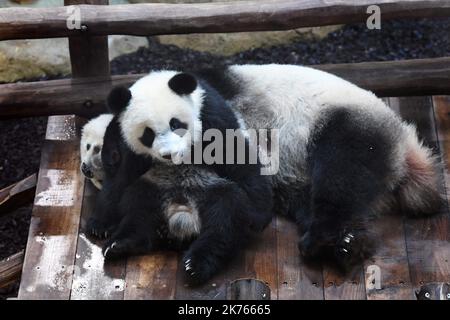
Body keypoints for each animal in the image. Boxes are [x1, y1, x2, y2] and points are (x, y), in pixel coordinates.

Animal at [104, 64, 442, 276]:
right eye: (148, 135)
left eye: (177, 125)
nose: (170, 156)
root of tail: (405, 143)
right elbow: (126, 179)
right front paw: (104, 220)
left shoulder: (217, 116)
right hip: (293, 176)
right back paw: (348, 245)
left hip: (346, 124)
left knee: (340, 178)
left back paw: (323, 240)